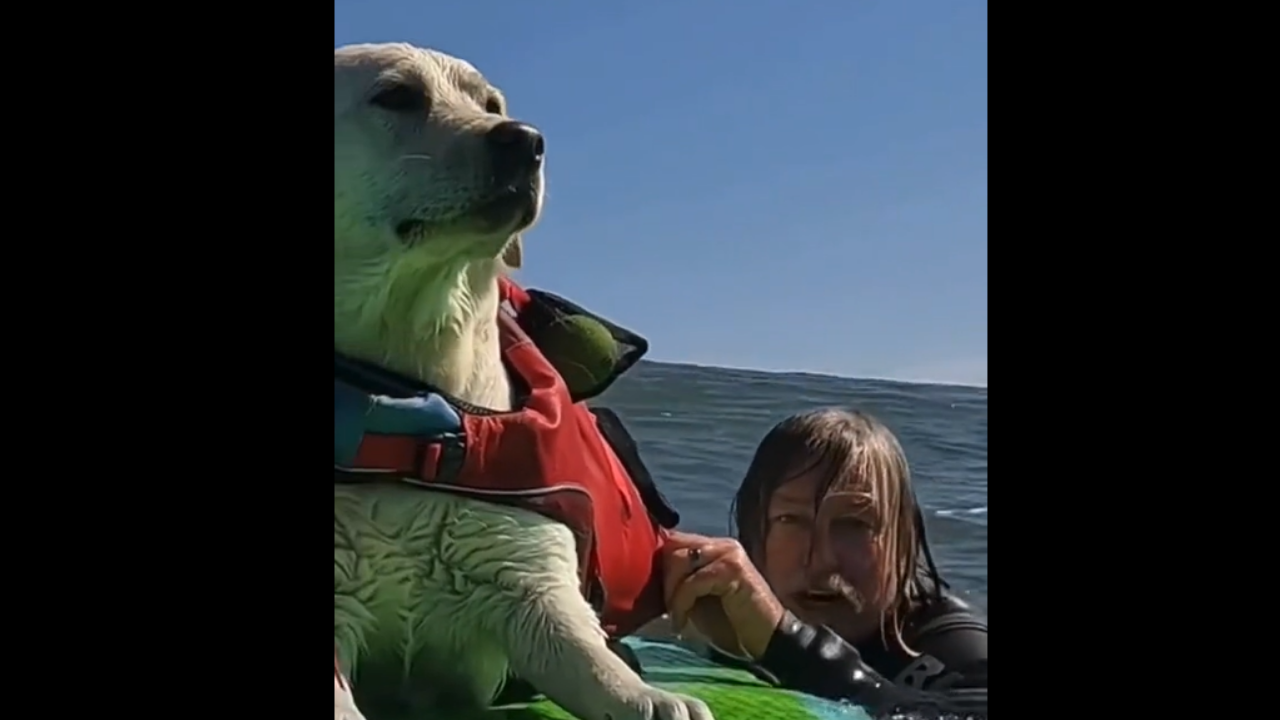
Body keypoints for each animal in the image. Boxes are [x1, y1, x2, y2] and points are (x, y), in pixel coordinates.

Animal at [332, 43, 711, 717]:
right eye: (397, 96)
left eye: (491, 103)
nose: (525, 140)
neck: (416, 395)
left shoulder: (526, 572)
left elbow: (589, 655)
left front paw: (654, 696)